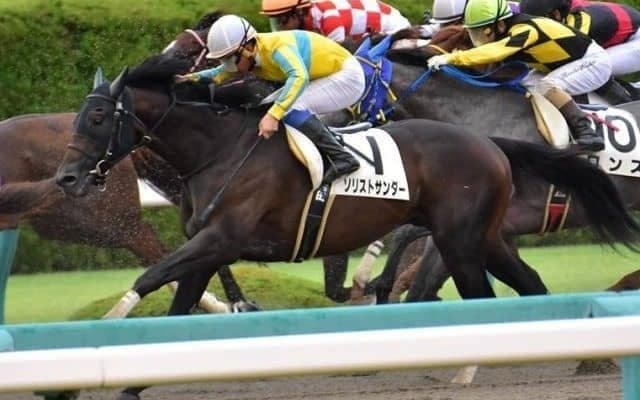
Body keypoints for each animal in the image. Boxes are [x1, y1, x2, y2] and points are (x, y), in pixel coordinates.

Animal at [53, 55, 640, 400]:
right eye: (80, 117)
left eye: (99, 118)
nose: (66, 178)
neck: (219, 150)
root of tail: (490, 143)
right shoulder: (208, 246)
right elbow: (177, 307)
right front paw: (131, 381)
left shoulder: (222, 238)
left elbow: (149, 278)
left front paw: (91, 349)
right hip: (487, 235)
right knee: (529, 286)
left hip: (459, 239)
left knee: (480, 295)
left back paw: (470, 368)